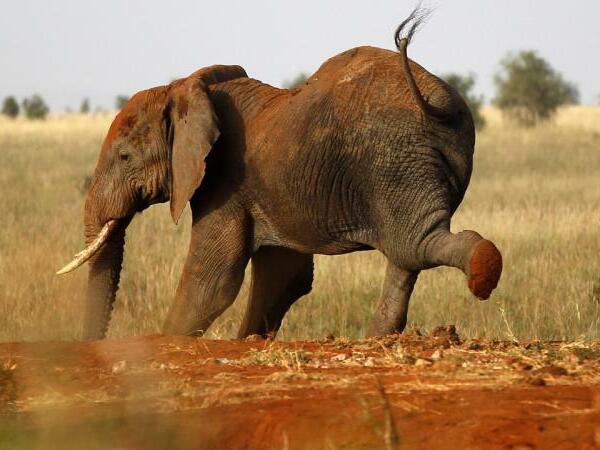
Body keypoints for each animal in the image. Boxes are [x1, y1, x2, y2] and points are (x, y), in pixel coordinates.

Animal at [59, 9, 502, 342]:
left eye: (124, 156)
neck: (183, 88)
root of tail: (436, 99)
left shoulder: (225, 180)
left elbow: (212, 280)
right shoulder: (265, 189)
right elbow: (284, 276)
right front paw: (249, 341)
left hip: (394, 160)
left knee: (414, 244)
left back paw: (483, 269)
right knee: (406, 253)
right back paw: (378, 338)